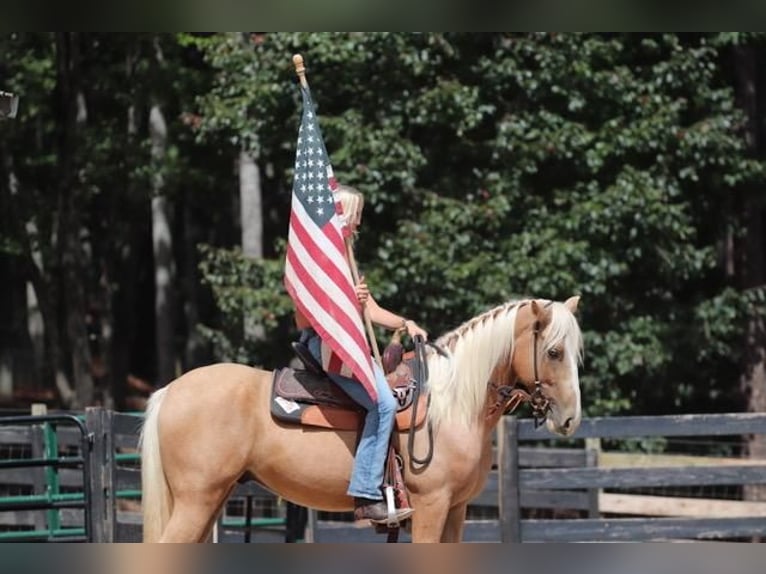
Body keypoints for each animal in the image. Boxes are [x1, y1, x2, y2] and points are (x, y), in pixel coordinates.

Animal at [140, 296, 584, 544]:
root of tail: (170, 391)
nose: (570, 419)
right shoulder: (431, 506)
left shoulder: (457, 510)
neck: (453, 406)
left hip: (211, 500)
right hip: (197, 501)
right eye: (554, 351)